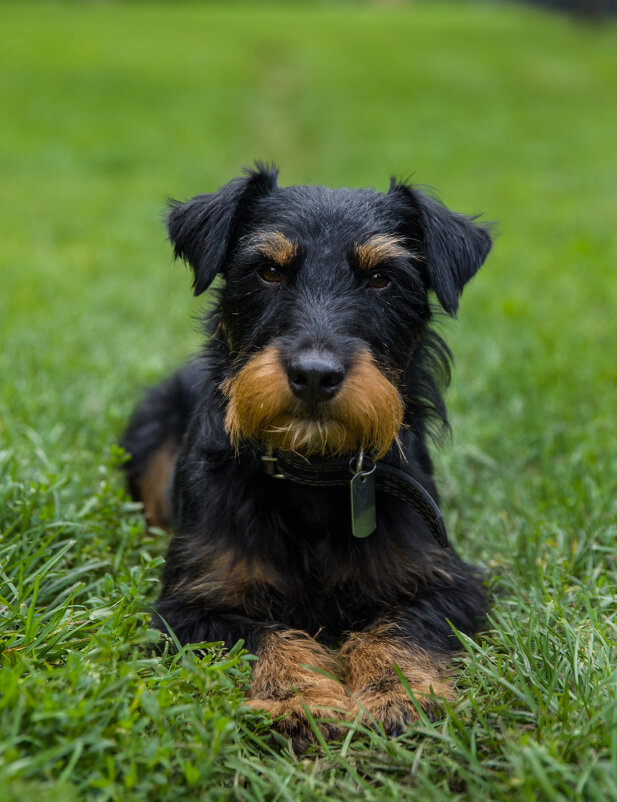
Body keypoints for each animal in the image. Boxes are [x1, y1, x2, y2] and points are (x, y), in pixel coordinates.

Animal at [122, 162, 494, 744]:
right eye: (268, 271)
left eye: (381, 278)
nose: (315, 375)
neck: (314, 471)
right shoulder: (191, 607)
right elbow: (263, 638)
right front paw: (299, 699)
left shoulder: (447, 583)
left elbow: (398, 628)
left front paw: (398, 694)